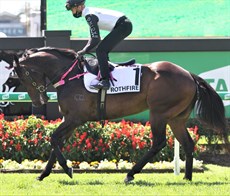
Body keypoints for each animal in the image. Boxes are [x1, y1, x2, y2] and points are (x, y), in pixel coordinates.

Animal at [0, 48, 227, 183]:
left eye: (22, 76)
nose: (39, 102)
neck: (70, 75)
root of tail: (189, 74)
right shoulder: (69, 119)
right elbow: (57, 142)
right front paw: (43, 174)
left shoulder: (76, 119)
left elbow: (54, 138)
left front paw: (67, 169)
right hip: (176, 118)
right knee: (187, 143)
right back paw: (187, 178)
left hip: (159, 113)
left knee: (158, 142)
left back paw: (130, 174)